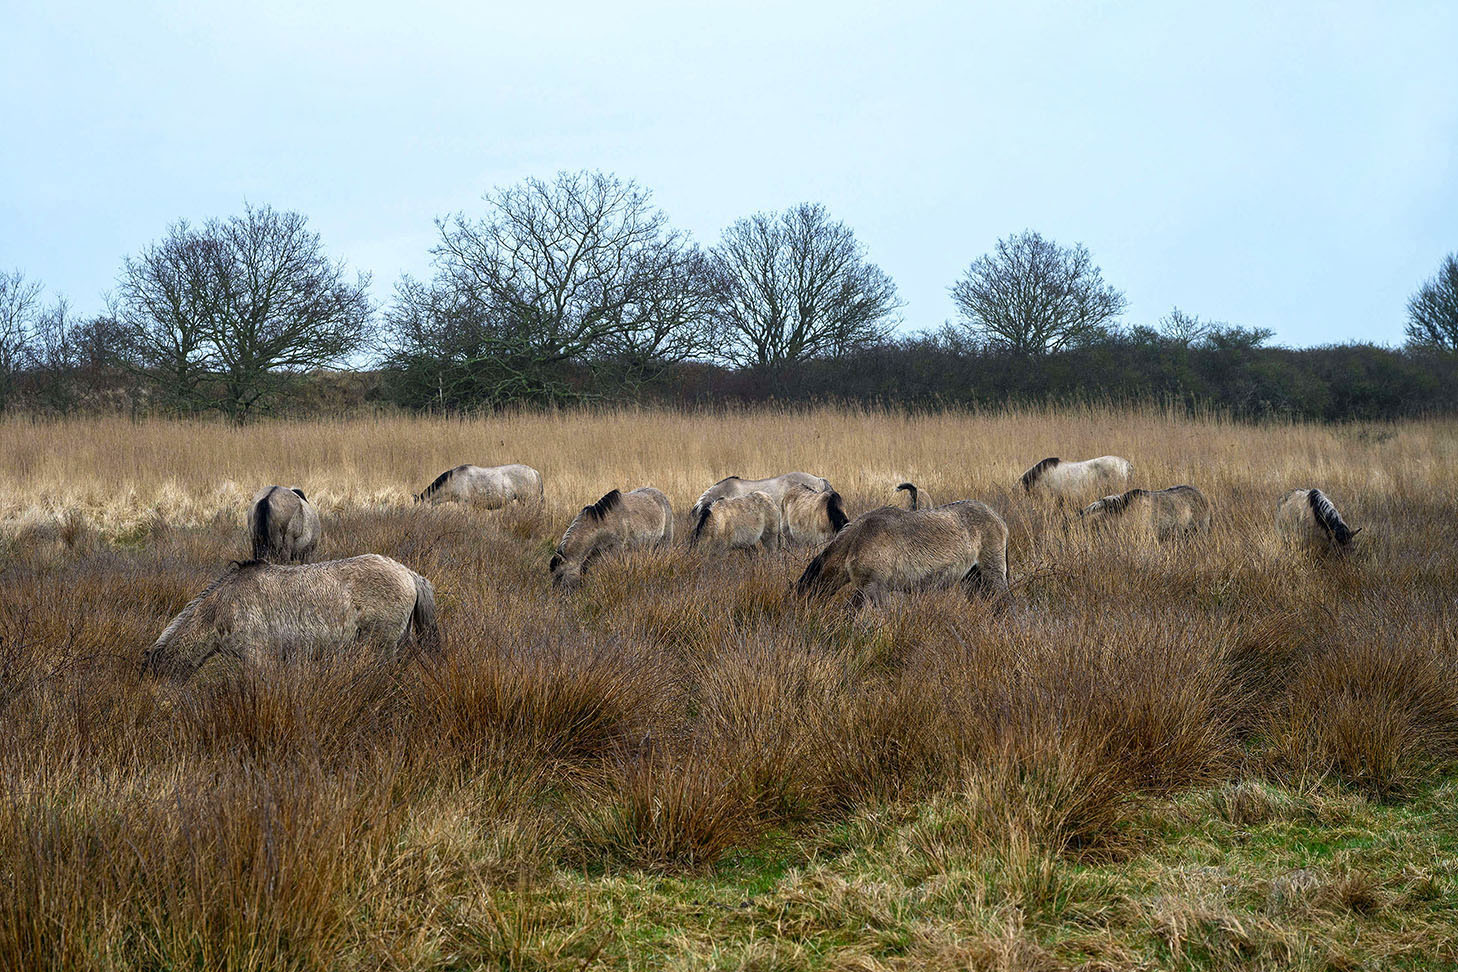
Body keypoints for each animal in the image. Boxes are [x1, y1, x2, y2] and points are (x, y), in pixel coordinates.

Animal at [796, 500, 1009, 609]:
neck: (856, 540)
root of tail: (998, 518)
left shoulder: (875, 588)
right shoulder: (864, 589)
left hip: (992, 573)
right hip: (972, 577)